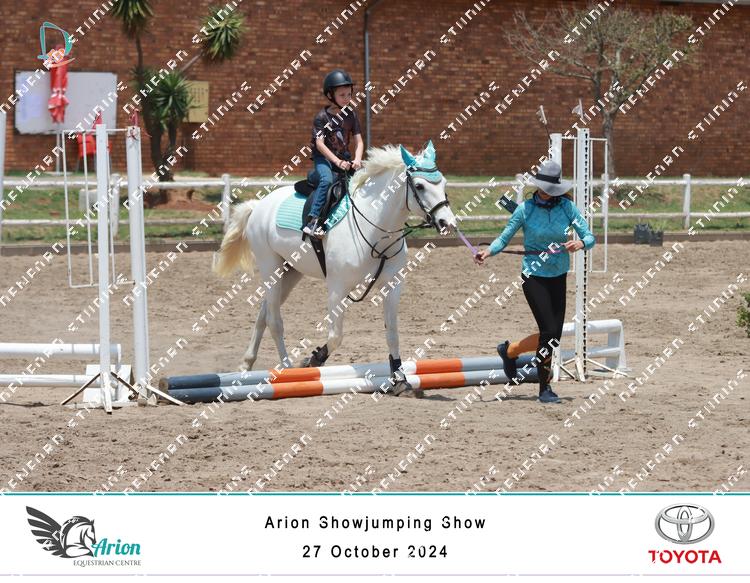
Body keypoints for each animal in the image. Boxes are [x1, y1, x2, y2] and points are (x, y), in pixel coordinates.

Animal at [213, 140, 457, 396]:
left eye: (443, 183)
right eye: (419, 186)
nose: (448, 223)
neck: (376, 228)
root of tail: (259, 204)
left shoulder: (392, 286)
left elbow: (392, 334)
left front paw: (400, 381)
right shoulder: (337, 288)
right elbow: (336, 336)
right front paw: (311, 361)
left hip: (290, 272)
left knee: (264, 314)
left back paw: (246, 363)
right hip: (270, 268)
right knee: (274, 320)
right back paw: (289, 370)